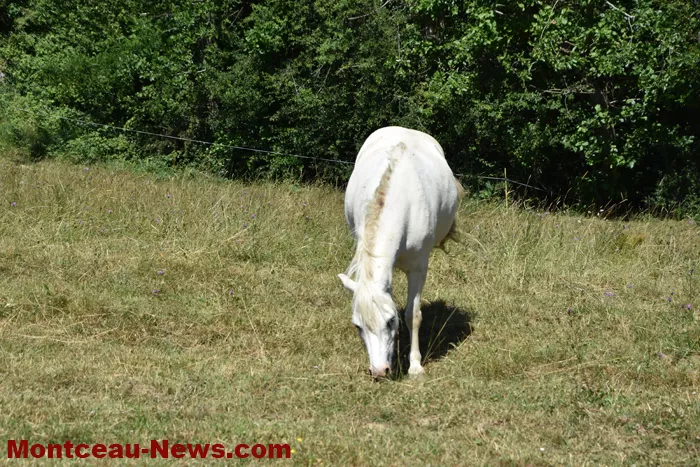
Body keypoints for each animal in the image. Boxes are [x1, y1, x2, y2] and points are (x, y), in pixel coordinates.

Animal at [338, 126, 463, 378]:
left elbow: (413, 315)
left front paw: (415, 365)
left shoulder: (418, 268)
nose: (379, 371)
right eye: (358, 326)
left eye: (390, 321)